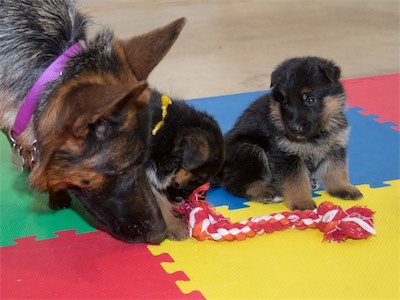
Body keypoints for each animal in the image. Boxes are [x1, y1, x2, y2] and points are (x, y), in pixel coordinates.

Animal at [220, 56, 364, 211]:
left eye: (310, 100)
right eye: (285, 103)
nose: (295, 128)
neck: (315, 136)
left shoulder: (335, 146)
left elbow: (336, 170)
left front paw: (343, 188)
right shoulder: (287, 156)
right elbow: (297, 182)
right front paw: (302, 202)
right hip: (250, 149)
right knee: (236, 184)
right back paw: (266, 193)